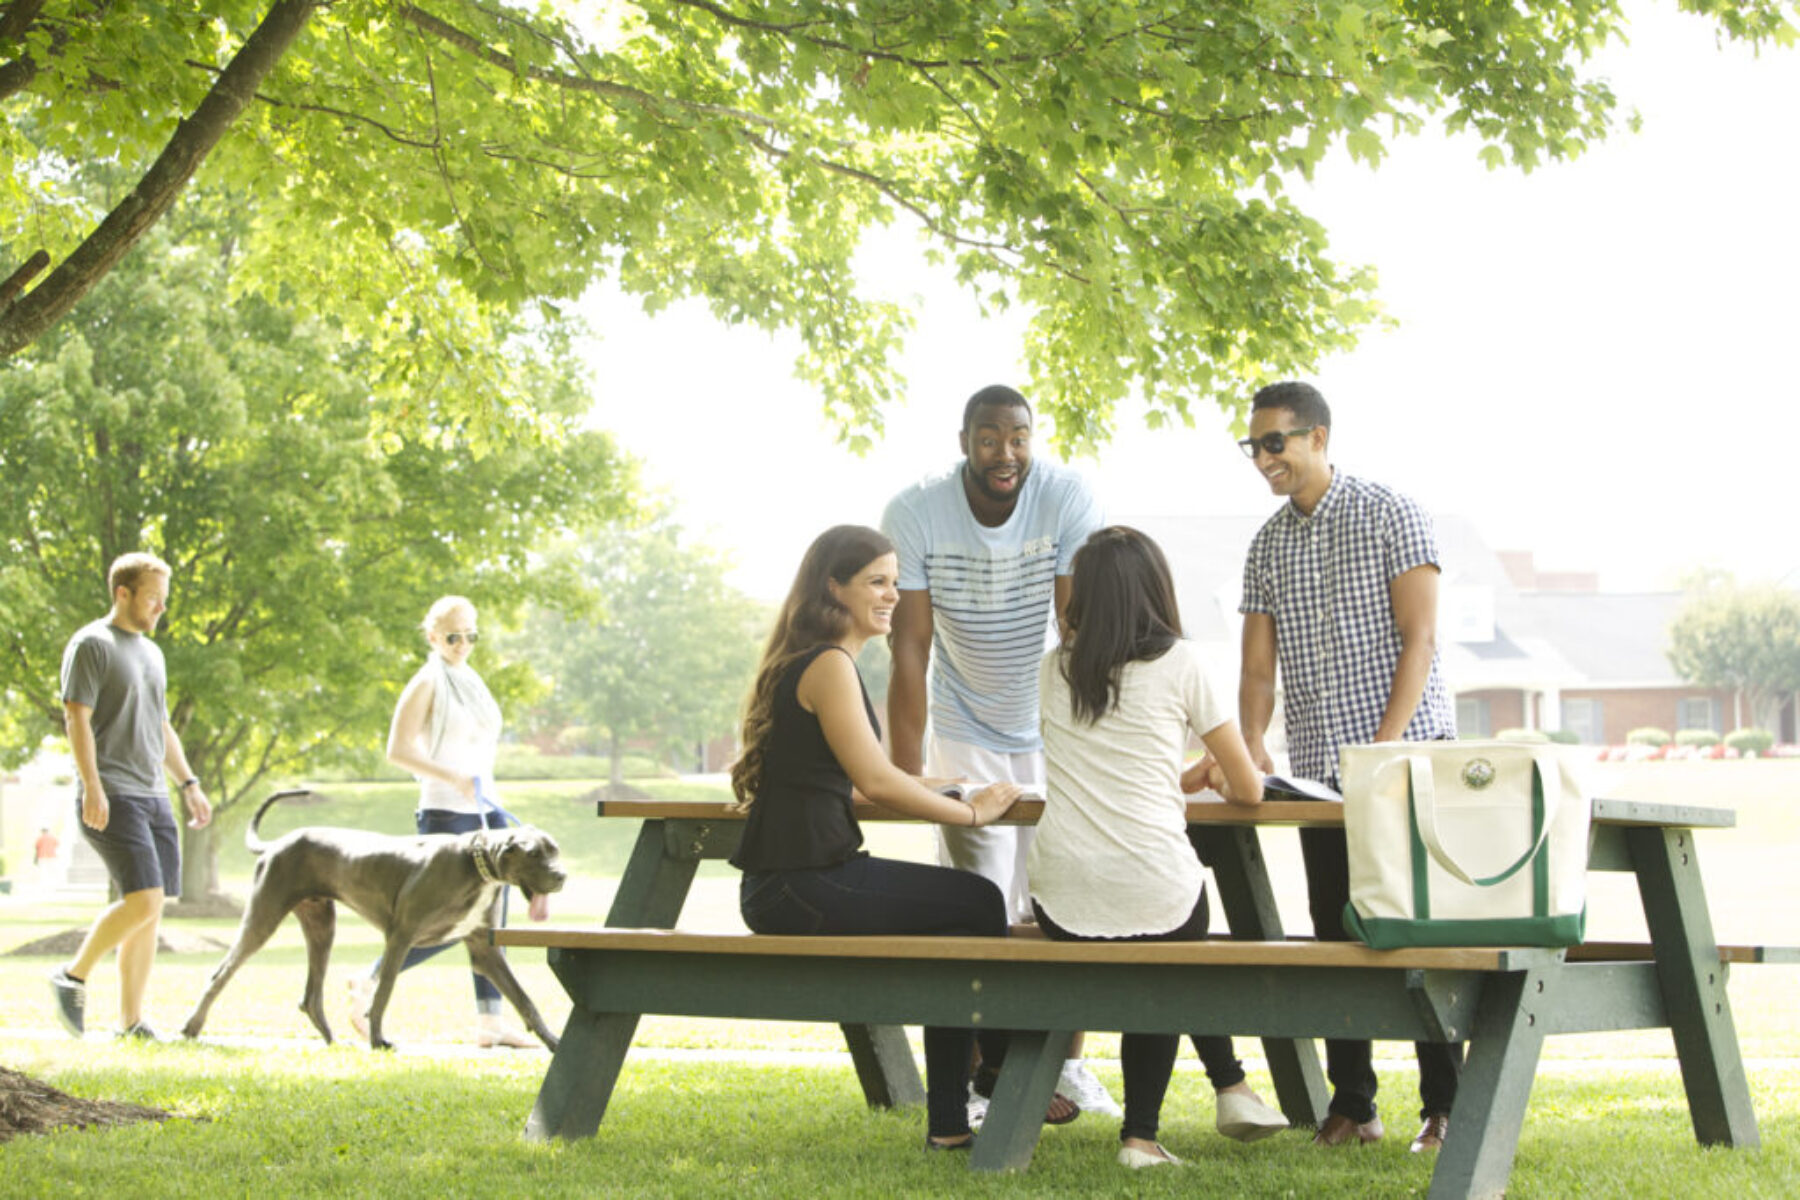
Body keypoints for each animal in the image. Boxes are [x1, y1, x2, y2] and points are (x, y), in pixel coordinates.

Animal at [180, 788, 561, 1050]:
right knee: (221, 973)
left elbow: (525, 999)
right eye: (533, 854)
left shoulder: (485, 950)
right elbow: (385, 990)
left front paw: (553, 1042)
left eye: (554, 851)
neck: (474, 862)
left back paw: (331, 1040)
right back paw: (191, 1027)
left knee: (311, 995)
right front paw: (378, 1039)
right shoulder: (401, 936)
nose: (562, 876)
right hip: (264, 918)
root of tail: (277, 843)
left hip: (321, 925)